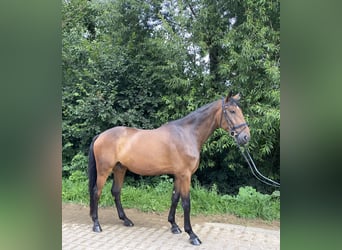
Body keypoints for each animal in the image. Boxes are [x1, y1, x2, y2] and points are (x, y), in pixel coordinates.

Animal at [87, 91, 248, 244]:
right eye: (232, 111)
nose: (246, 137)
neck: (186, 134)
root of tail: (100, 135)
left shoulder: (178, 175)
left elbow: (175, 198)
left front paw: (174, 226)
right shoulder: (185, 175)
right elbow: (186, 203)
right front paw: (192, 235)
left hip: (120, 169)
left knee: (116, 191)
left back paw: (126, 220)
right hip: (104, 171)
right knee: (96, 192)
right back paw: (96, 224)